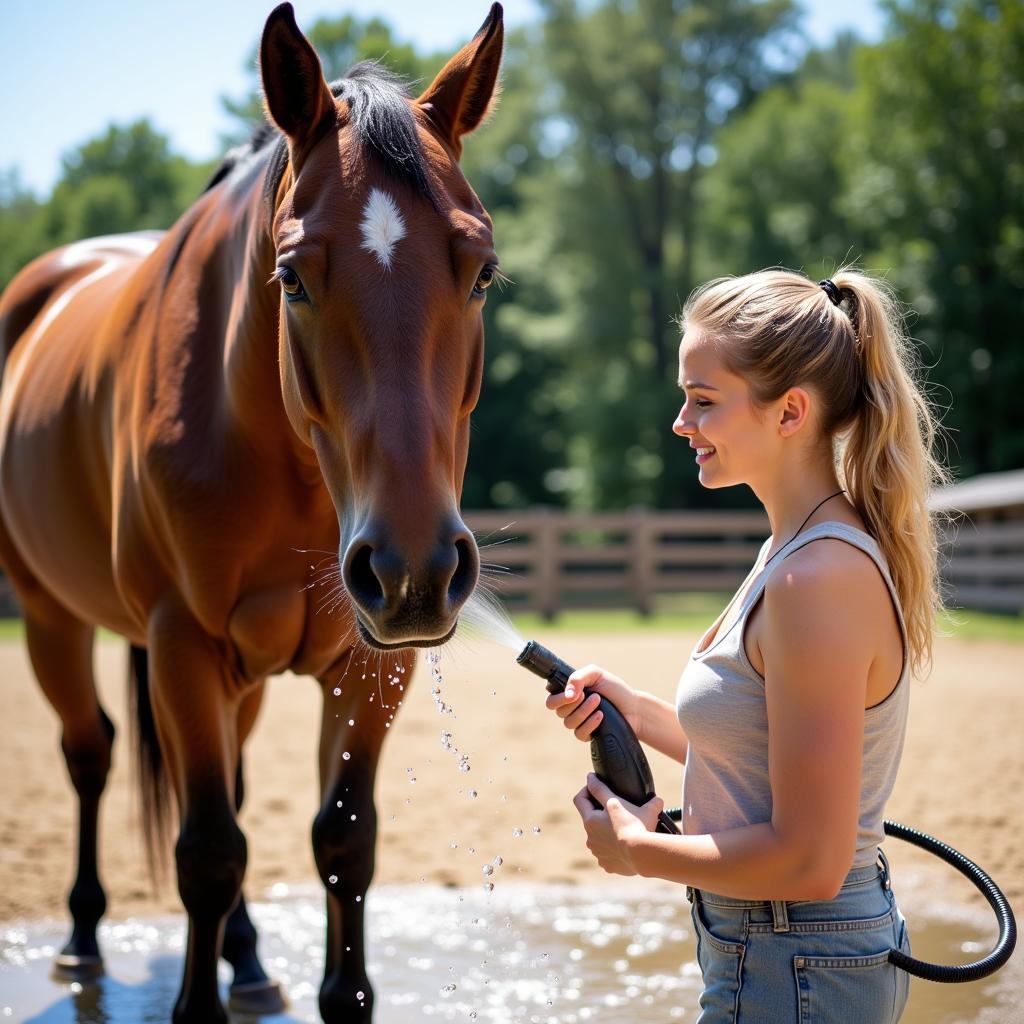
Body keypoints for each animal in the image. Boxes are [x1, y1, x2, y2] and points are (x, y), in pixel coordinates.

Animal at [0, 4, 501, 1019]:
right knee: (90, 755)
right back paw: (81, 940)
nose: (416, 571)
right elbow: (207, 852)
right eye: (294, 278)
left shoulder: (369, 661)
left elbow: (344, 840)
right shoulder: (183, 646)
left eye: (479, 273)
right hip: (50, 617)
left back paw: (251, 962)